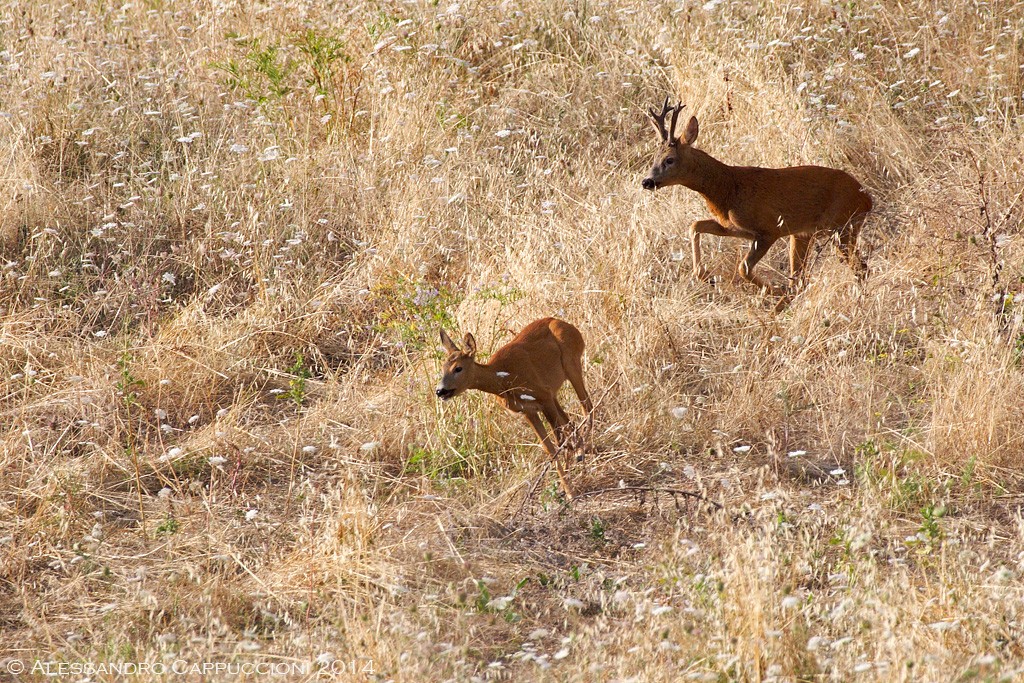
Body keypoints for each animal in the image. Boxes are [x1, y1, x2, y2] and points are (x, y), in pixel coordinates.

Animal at [432, 317, 593, 499]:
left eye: (458, 368)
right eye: (443, 368)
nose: (440, 391)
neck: (503, 380)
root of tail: (569, 326)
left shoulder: (543, 396)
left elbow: (559, 443)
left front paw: (570, 491)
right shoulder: (528, 410)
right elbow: (549, 448)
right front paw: (564, 488)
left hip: (571, 363)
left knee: (586, 407)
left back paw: (583, 458)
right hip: (555, 391)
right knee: (570, 421)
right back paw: (580, 457)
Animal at [638, 97, 872, 294]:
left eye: (669, 160)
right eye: (653, 157)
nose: (647, 182)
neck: (728, 188)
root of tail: (867, 199)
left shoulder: (768, 229)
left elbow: (743, 268)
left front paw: (771, 290)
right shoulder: (731, 228)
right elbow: (695, 226)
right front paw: (706, 276)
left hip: (842, 227)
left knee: (860, 268)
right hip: (805, 234)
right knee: (804, 279)